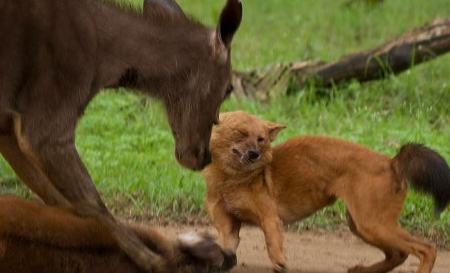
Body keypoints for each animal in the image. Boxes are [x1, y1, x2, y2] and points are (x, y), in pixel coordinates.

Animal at [0, 0, 243, 268]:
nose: (203, 156)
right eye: (228, 88)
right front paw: (155, 260)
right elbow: (90, 202)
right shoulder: (47, 125)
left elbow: (58, 201)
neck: (102, 65)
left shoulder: (8, 123)